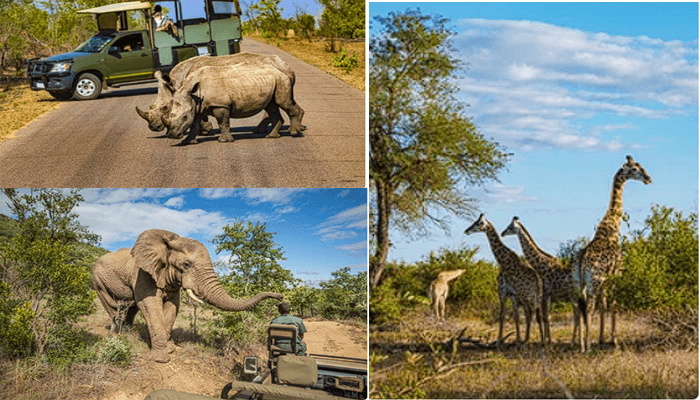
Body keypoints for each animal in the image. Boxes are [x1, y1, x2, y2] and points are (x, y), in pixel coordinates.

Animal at [93, 228, 284, 362]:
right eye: (186, 265)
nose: (281, 297)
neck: (168, 241)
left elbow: (172, 307)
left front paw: (170, 349)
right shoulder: (142, 274)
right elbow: (149, 305)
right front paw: (162, 359)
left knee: (131, 307)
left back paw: (128, 332)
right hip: (98, 281)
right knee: (113, 306)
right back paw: (120, 334)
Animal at [464, 212, 548, 346]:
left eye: (479, 223)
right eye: (474, 221)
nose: (466, 230)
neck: (503, 261)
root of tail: (538, 281)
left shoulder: (503, 292)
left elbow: (503, 316)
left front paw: (500, 341)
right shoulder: (511, 294)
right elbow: (514, 316)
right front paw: (516, 340)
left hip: (526, 296)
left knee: (530, 314)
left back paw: (529, 341)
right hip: (536, 297)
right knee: (537, 315)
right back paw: (539, 341)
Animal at [504, 217, 580, 346]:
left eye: (510, 227)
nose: (502, 233)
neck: (540, 265)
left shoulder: (545, 293)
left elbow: (545, 317)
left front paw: (547, 341)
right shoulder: (545, 294)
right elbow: (545, 316)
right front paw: (547, 339)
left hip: (573, 295)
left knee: (578, 314)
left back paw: (574, 341)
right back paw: (577, 340)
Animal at [576, 155, 652, 352]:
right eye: (635, 169)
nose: (648, 179)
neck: (612, 226)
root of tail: (582, 262)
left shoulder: (606, 278)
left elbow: (604, 305)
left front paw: (602, 339)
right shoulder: (617, 273)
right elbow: (614, 304)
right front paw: (614, 341)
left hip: (581, 283)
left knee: (580, 307)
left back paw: (580, 344)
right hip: (593, 281)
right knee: (589, 308)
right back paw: (587, 347)